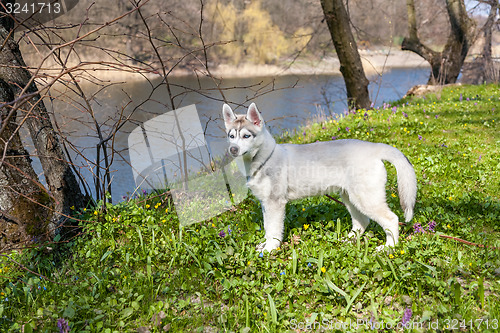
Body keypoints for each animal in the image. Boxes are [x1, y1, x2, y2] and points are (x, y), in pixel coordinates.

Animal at [224, 102, 418, 250]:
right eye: (231, 136)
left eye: (246, 136)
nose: (233, 149)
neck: (264, 159)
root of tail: (374, 147)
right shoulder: (265, 204)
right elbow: (267, 228)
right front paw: (265, 245)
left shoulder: (275, 203)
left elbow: (273, 230)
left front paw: (270, 249)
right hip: (350, 197)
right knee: (362, 221)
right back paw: (349, 239)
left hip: (367, 198)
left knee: (391, 219)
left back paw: (389, 248)